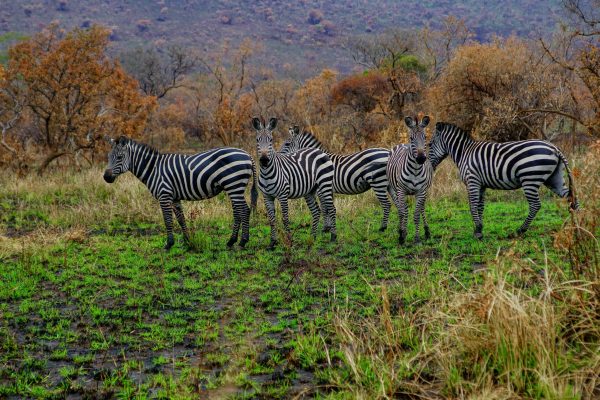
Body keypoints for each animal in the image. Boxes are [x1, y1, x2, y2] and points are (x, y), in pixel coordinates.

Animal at [103, 138, 258, 250]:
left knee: (244, 210)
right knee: (238, 212)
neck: (153, 169)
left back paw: (243, 242)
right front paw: (188, 241)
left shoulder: (164, 195)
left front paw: (169, 244)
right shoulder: (175, 197)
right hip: (233, 188)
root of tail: (247, 154)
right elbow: (181, 219)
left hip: (234, 185)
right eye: (109, 156)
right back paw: (231, 241)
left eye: (120, 157)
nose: (106, 177)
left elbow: (168, 220)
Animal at [253, 115, 338, 248]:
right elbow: (272, 220)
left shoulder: (283, 195)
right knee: (316, 211)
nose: (264, 160)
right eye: (257, 140)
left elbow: (285, 218)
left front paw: (289, 240)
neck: (267, 174)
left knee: (332, 209)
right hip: (309, 191)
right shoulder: (267, 196)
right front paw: (272, 243)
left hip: (325, 185)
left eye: (271, 140)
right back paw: (312, 238)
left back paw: (333, 237)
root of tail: (319, 151)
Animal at [386, 113, 434, 244]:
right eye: (412, 138)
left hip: (424, 191)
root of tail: (403, 144)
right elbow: (404, 212)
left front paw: (417, 239)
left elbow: (416, 214)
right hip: (395, 189)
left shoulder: (421, 191)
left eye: (425, 137)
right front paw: (402, 236)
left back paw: (427, 231)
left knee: (421, 208)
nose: (421, 158)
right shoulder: (401, 191)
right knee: (402, 210)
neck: (416, 171)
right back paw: (401, 230)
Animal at [428, 122, 580, 239]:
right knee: (571, 197)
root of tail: (554, 148)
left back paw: (520, 230)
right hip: (553, 178)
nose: (427, 164)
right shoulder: (481, 184)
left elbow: (472, 206)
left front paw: (477, 232)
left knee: (535, 205)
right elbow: (480, 206)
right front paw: (479, 229)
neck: (464, 153)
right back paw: (579, 227)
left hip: (530, 179)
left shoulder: (472, 181)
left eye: (429, 145)